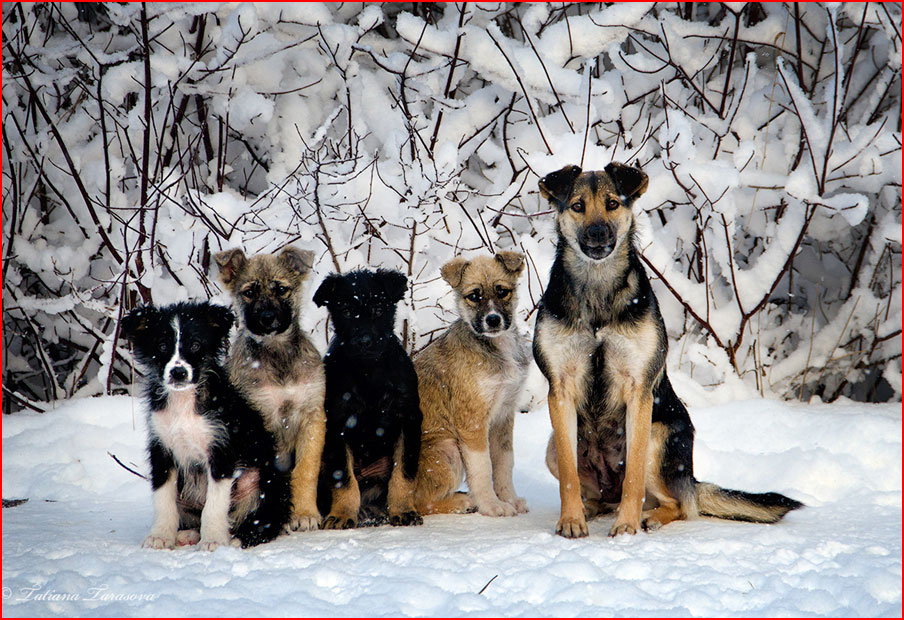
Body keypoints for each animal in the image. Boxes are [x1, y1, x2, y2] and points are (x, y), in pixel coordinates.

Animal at [121, 300, 290, 548]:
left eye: (195, 345)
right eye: (162, 346)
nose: (178, 373)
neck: (184, 402)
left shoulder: (221, 448)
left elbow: (214, 503)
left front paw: (213, 541)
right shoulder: (161, 447)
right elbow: (163, 498)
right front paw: (160, 536)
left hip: (265, 481)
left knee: (263, 520)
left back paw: (238, 538)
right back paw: (187, 535)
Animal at [214, 247, 326, 532]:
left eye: (281, 289)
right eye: (249, 292)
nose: (267, 319)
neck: (278, 355)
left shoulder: (312, 415)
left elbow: (305, 470)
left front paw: (305, 513)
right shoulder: (260, 419)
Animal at [310, 268, 424, 528]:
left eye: (378, 310)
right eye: (346, 312)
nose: (363, 342)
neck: (368, 370)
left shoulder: (408, 417)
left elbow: (403, 473)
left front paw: (404, 510)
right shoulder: (337, 422)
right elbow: (343, 478)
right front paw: (342, 514)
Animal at [414, 252, 532, 520]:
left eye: (502, 291)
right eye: (474, 296)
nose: (493, 320)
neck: (497, 346)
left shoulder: (503, 416)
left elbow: (504, 463)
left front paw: (509, 499)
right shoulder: (473, 420)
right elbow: (483, 466)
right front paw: (492, 505)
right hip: (447, 448)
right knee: (417, 502)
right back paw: (462, 502)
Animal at [532, 163, 800, 536]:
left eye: (613, 203)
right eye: (577, 206)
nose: (598, 233)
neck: (598, 289)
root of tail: (691, 480)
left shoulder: (639, 390)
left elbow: (633, 477)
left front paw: (626, 527)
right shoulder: (560, 390)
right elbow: (569, 479)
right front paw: (571, 520)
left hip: (660, 438)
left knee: (679, 504)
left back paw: (649, 517)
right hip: (551, 449)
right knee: (599, 494)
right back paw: (591, 509)